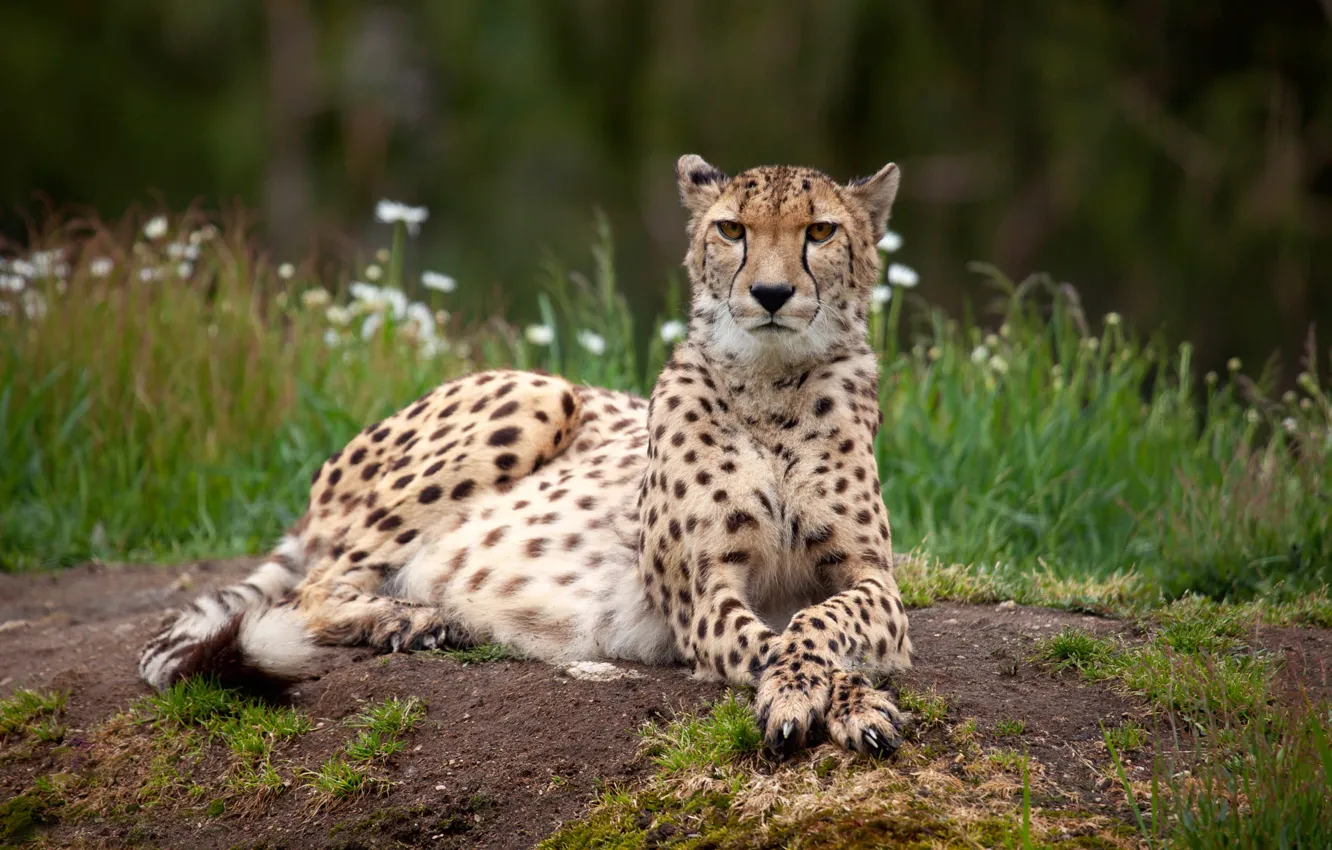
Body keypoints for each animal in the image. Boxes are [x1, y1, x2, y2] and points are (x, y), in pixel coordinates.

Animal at [139, 155, 913, 758]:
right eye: (732, 230)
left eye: (820, 231)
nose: (772, 294)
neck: (772, 385)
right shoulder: (702, 594)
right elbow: (772, 643)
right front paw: (833, 697)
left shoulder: (874, 579)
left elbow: (818, 623)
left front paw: (837, 696)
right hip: (543, 393)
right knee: (314, 588)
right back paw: (405, 617)